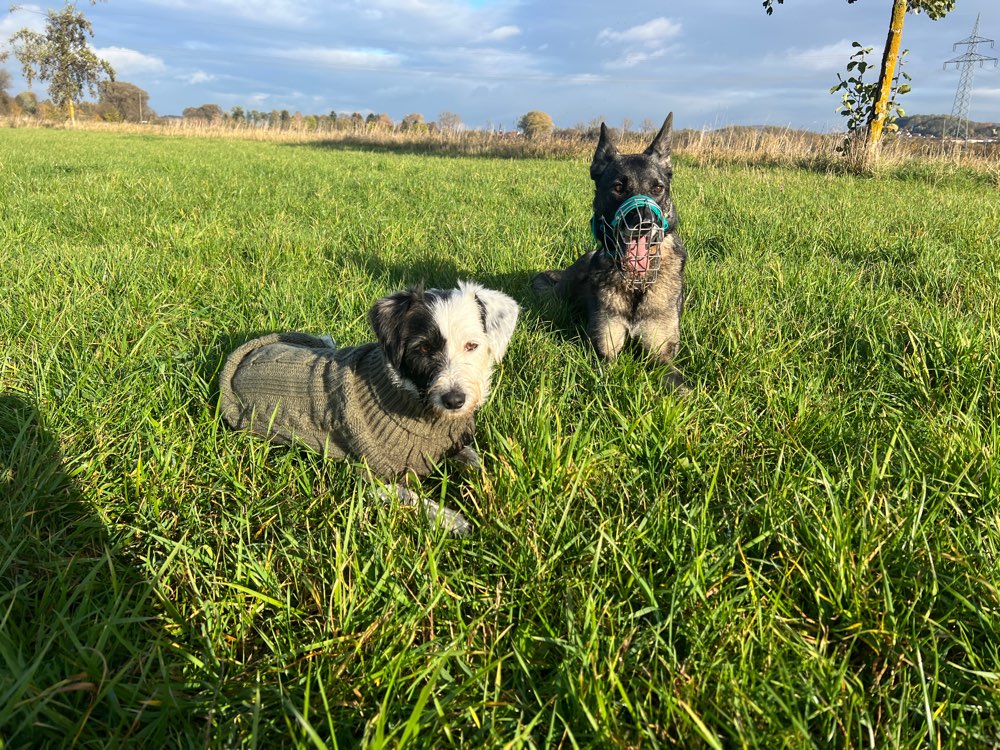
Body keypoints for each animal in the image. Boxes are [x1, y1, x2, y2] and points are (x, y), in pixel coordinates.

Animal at [217, 280, 516, 536]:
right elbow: (415, 499)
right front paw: (453, 520)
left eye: (472, 345)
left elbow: (476, 460)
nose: (454, 400)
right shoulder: (371, 479)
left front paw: (498, 482)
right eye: (422, 348)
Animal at [536, 116, 684, 372]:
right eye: (618, 188)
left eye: (657, 188)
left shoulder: (662, 357)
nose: (644, 224)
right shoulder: (604, 351)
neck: (636, 282)